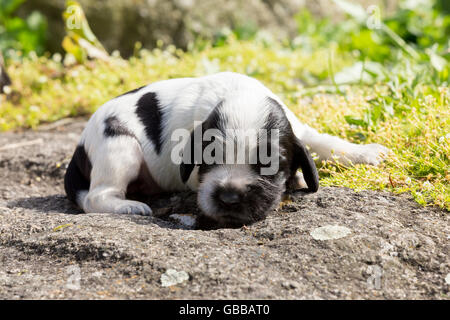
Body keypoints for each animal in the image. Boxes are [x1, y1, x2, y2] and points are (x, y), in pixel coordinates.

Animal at [64, 72, 390, 228]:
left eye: (270, 164)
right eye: (209, 157)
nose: (230, 197)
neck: (241, 95)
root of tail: (78, 148)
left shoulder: (298, 128)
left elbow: (324, 141)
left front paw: (364, 153)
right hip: (119, 145)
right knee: (95, 197)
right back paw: (129, 206)